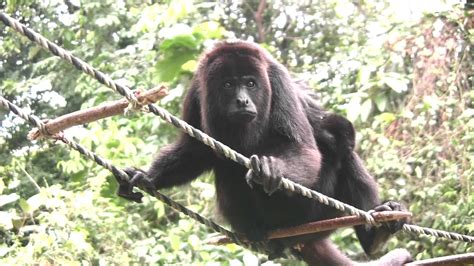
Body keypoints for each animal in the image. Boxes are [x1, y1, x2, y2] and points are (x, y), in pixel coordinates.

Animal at [122, 40, 412, 264]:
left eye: (251, 83)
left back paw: (375, 236)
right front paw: (146, 176)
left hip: (316, 215)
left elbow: (304, 148)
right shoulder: (196, 89)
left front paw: (273, 169)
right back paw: (257, 231)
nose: (242, 101)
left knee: (339, 139)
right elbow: (195, 150)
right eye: (228, 85)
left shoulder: (277, 79)